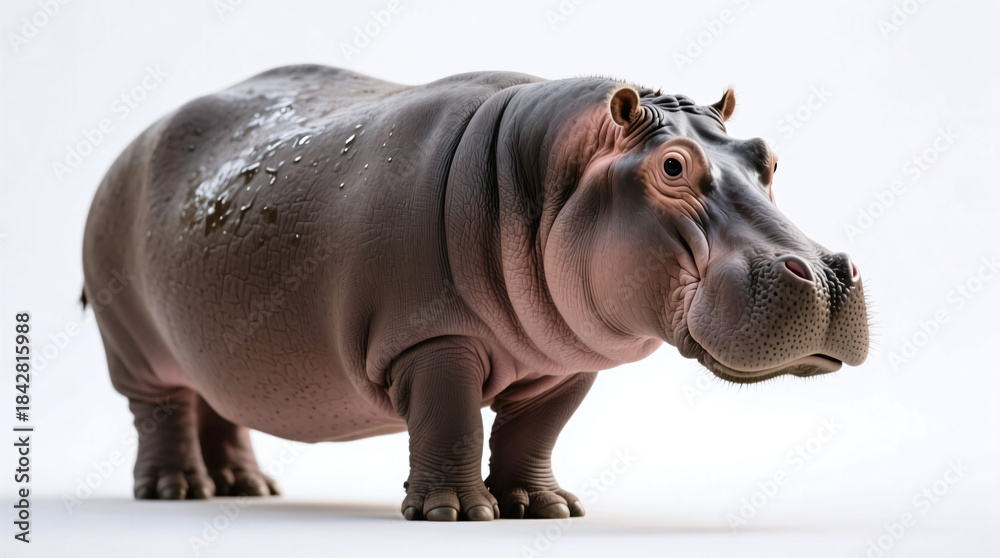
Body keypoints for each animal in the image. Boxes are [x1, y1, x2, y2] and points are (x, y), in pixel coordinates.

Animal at [82, 64, 869, 521]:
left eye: (768, 156)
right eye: (672, 165)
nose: (828, 272)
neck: (550, 174)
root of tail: (130, 146)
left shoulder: (565, 360)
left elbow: (535, 432)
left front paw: (543, 508)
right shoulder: (430, 339)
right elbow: (450, 419)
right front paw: (457, 513)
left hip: (215, 330)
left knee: (220, 403)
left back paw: (247, 488)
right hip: (133, 344)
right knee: (162, 411)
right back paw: (177, 491)